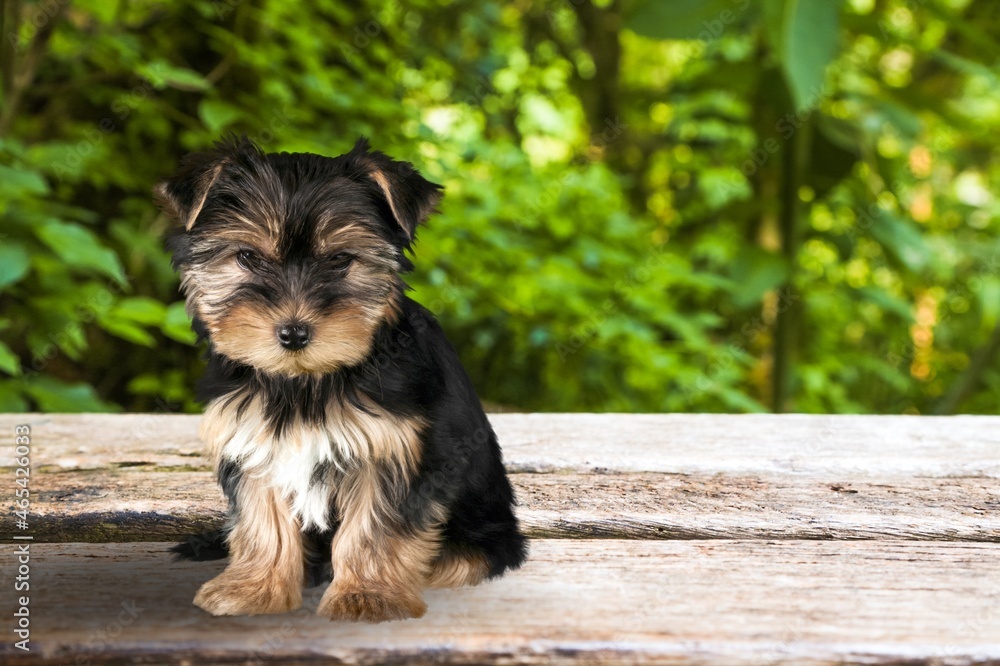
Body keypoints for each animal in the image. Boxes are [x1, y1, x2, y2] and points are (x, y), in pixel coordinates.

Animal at [155, 137, 528, 620]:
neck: (304, 382)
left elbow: (376, 527)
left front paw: (367, 597)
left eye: (339, 260)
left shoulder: (391, 449)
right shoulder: (253, 440)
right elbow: (263, 521)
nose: (294, 332)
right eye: (248, 257)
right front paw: (255, 589)